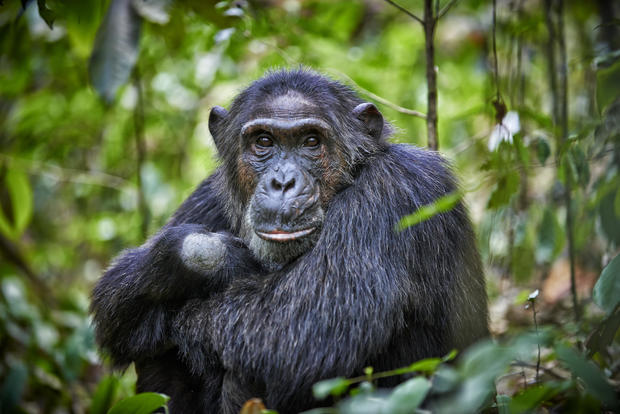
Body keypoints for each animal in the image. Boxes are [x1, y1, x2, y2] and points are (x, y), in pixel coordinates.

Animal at [92, 68, 490, 414]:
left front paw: (197, 310)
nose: (283, 182)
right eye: (264, 141)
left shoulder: (399, 188)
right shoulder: (208, 195)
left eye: (311, 141)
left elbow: (300, 333)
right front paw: (221, 258)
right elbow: (115, 294)